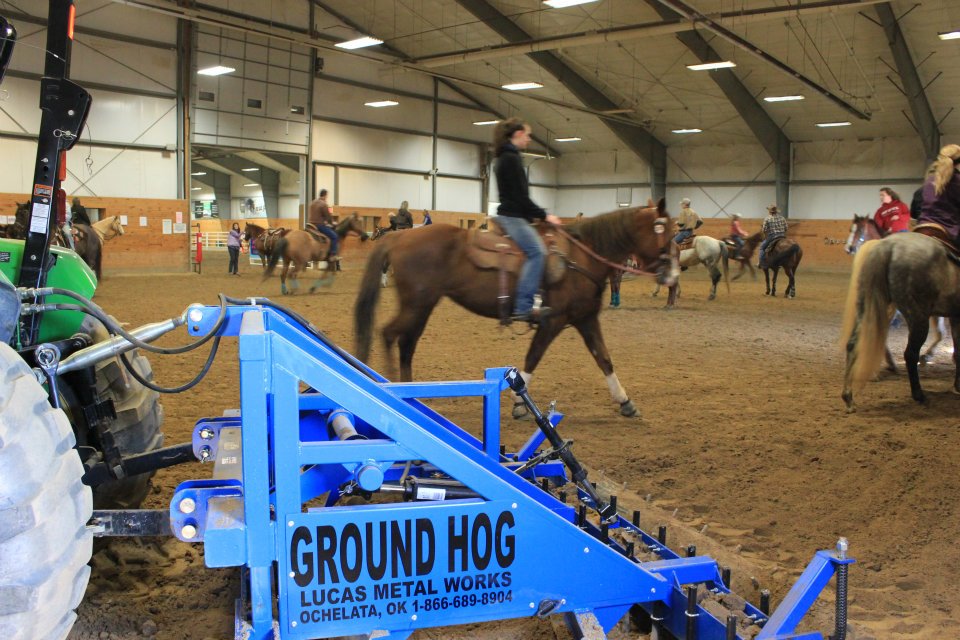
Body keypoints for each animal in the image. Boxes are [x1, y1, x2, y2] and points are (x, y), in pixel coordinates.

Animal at [356, 201, 680, 420]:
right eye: (665, 231)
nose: (674, 275)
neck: (580, 258)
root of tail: (400, 236)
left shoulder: (586, 319)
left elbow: (604, 358)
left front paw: (625, 401)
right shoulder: (553, 321)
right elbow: (533, 357)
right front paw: (518, 402)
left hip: (423, 306)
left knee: (406, 343)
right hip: (417, 304)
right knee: (389, 334)